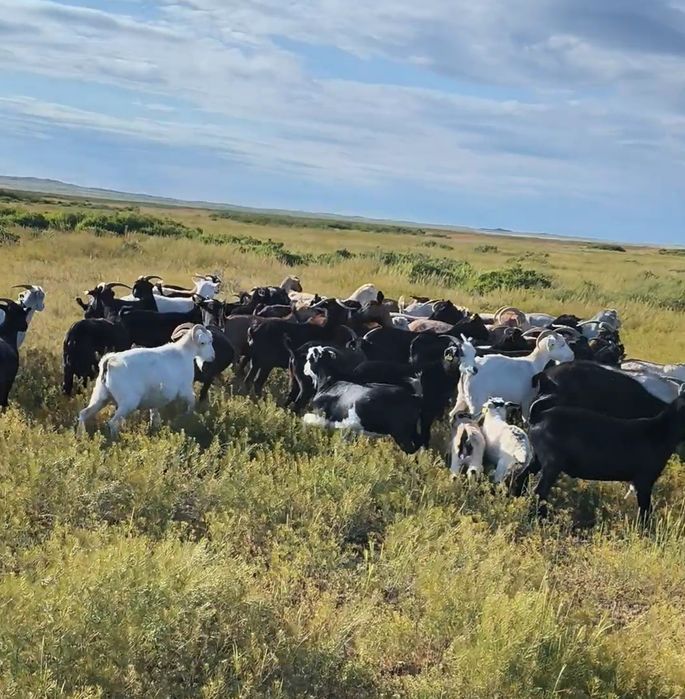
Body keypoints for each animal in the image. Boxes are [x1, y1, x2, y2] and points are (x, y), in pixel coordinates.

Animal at [78, 324, 215, 437]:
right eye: (203, 342)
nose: (213, 357)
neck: (183, 353)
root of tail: (109, 362)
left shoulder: (155, 401)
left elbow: (155, 416)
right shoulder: (184, 390)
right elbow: (191, 403)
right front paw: (186, 419)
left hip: (101, 398)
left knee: (83, 414)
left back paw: (82, 437)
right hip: (128, 402)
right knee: (113, 423)